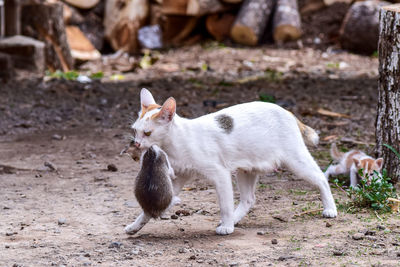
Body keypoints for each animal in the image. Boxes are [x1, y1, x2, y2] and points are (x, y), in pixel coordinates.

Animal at [123, 89, 336, 236]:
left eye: (147, 133)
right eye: (135, 131)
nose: (137, 143)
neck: (177, 141)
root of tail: (287, 111)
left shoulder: (220, 174)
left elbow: (224, 204)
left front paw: (226, 226)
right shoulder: (177, 179)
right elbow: (151, 208)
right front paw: (135, 226)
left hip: (295, 160)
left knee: (321, 178)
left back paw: (330, 209)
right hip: (247, 169)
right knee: (249, 199)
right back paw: (235, 219)